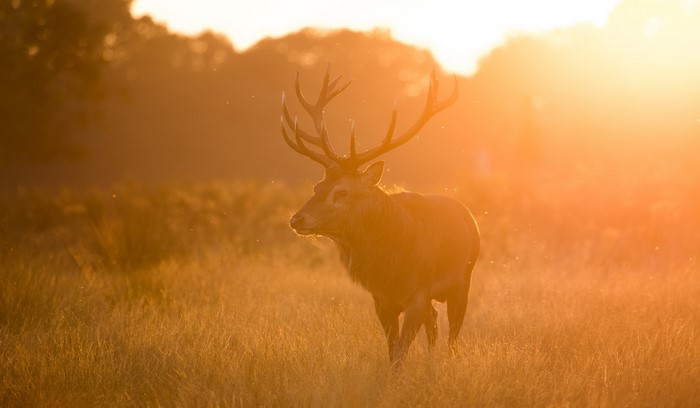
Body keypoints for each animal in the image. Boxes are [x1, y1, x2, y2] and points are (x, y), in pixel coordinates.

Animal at [280, 65, 480, 366]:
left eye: (341, 192)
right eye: (317, 186)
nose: (296, 219)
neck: (390, 266)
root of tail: (468, 215)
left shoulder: (418, 294)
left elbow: (400, 353)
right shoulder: (381, 300)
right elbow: (392, 351)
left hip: (464, 278)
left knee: (452, 335)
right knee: (434, 324)